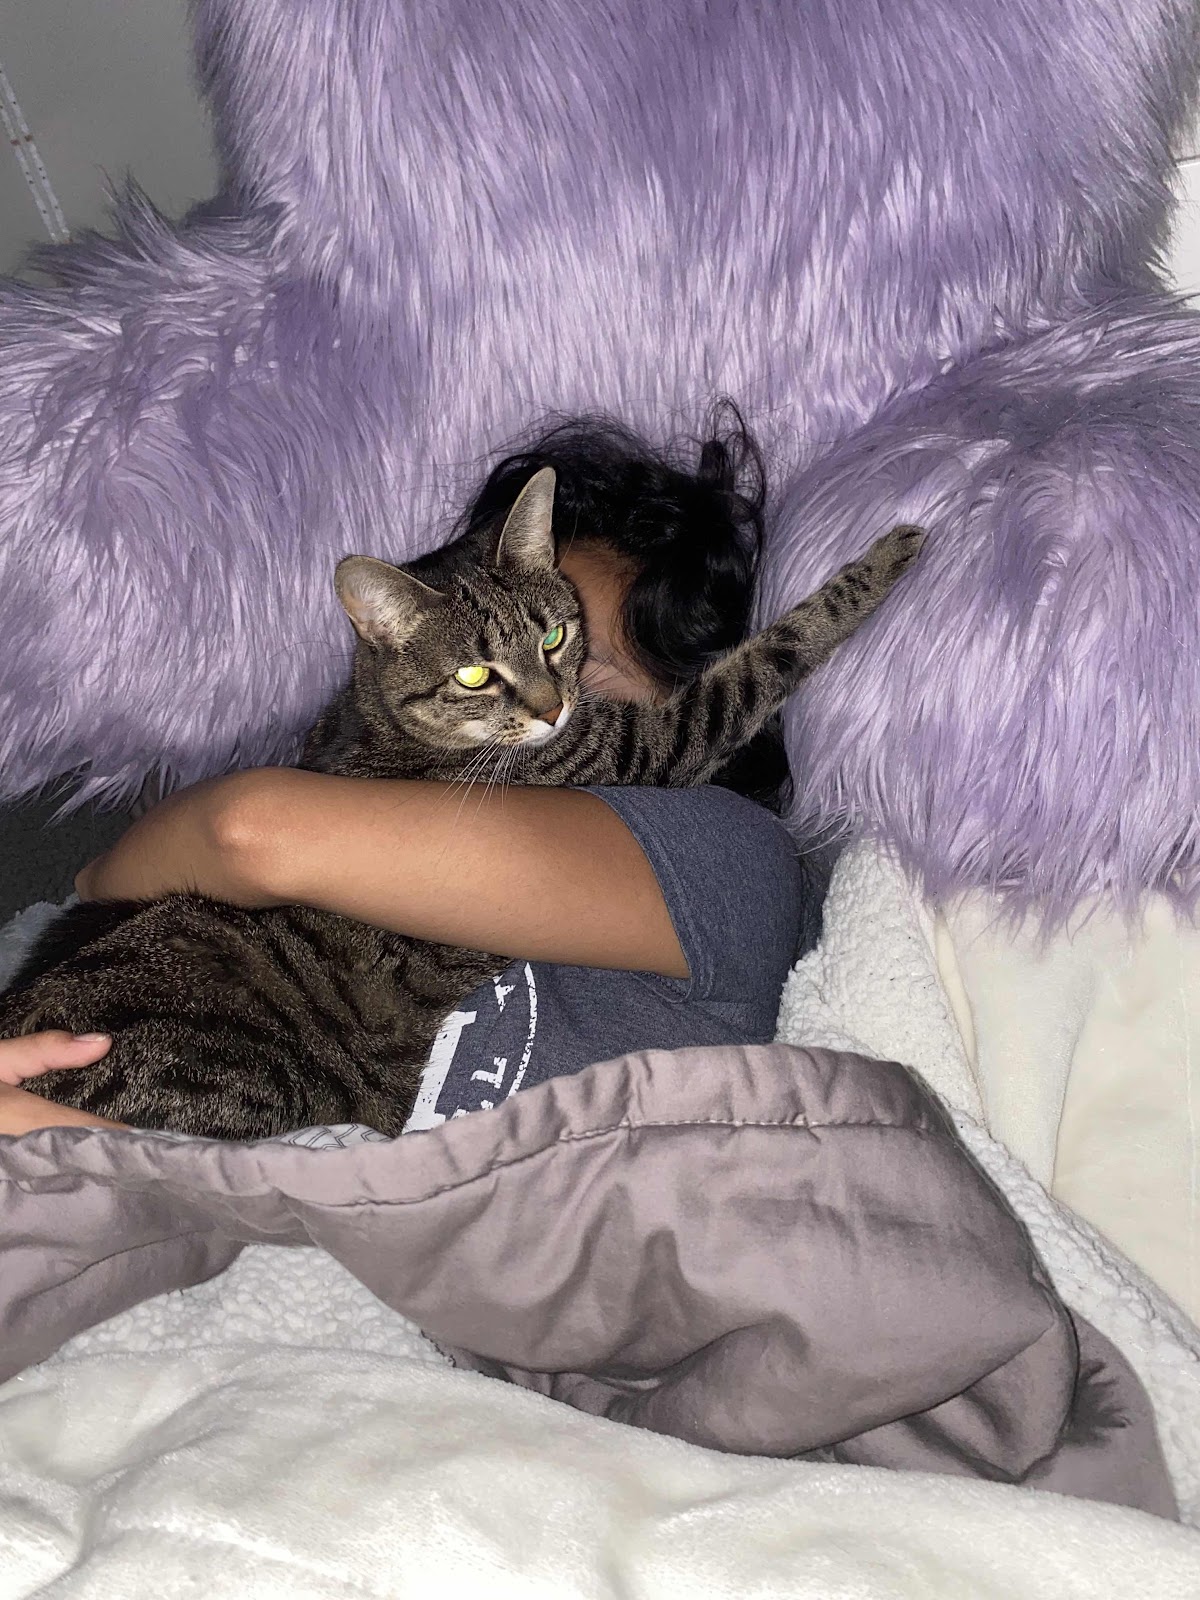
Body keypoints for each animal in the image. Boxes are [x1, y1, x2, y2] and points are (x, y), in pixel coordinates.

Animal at [0, 469, 924, 1139]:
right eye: (476, 673)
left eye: (555, 635)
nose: (553, 707)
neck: (377, 715)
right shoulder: (640, 746)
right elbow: (761, 660)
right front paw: (884, 559)